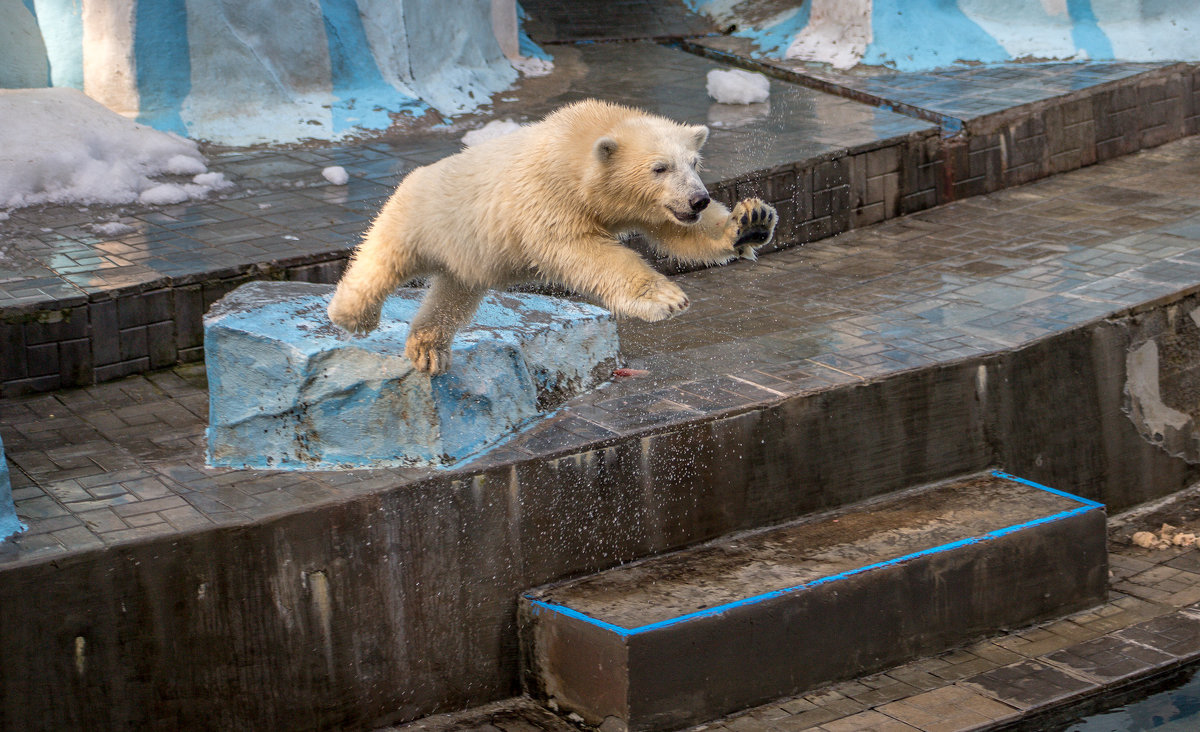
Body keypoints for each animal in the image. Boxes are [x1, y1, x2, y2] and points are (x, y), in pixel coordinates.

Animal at [328, 97, 777, 369]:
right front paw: (665, 299)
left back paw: (427, 350)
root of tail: (413, 177)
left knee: (452, 294)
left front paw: (750, 222)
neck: (575, 146)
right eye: (659, 167)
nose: (699, 199)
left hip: (466, 253)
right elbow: (581, 250)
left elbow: (675, 229)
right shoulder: (550, 196)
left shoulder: (645, 207)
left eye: (694, 163)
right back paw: (351, 315)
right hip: (422, 218)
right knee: (382, 259)